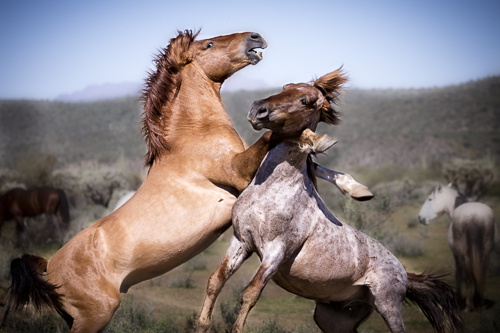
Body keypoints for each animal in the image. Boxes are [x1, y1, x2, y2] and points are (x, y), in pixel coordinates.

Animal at [197, 68, 462, 332]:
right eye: (285, 86)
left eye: (304, 101)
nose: (257, 109)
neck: (271, 192)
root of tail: (404, 272)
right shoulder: (241, 241)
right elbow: (215, 281)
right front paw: (201, 324)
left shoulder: (276, 250)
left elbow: (251, 293)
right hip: (333, 317)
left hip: (388, 307)